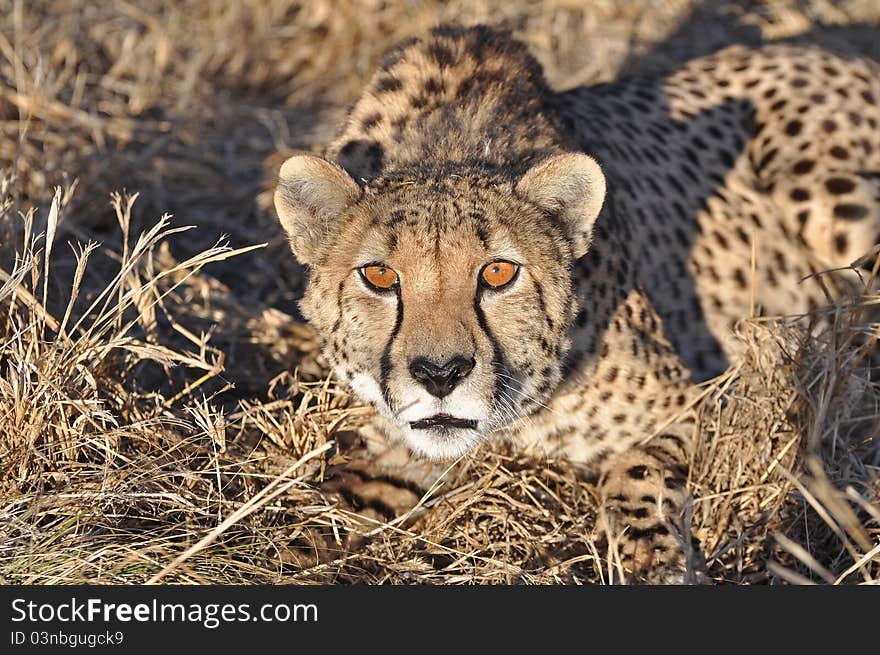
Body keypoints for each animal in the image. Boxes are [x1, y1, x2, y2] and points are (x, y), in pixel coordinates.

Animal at [274, 25, 880, 584]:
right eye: (379, 275)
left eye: (498, 272)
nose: (440, 374)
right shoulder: (400, 447)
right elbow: (319, 507)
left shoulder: (692, 404)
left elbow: (634, 468)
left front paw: (651, 559)